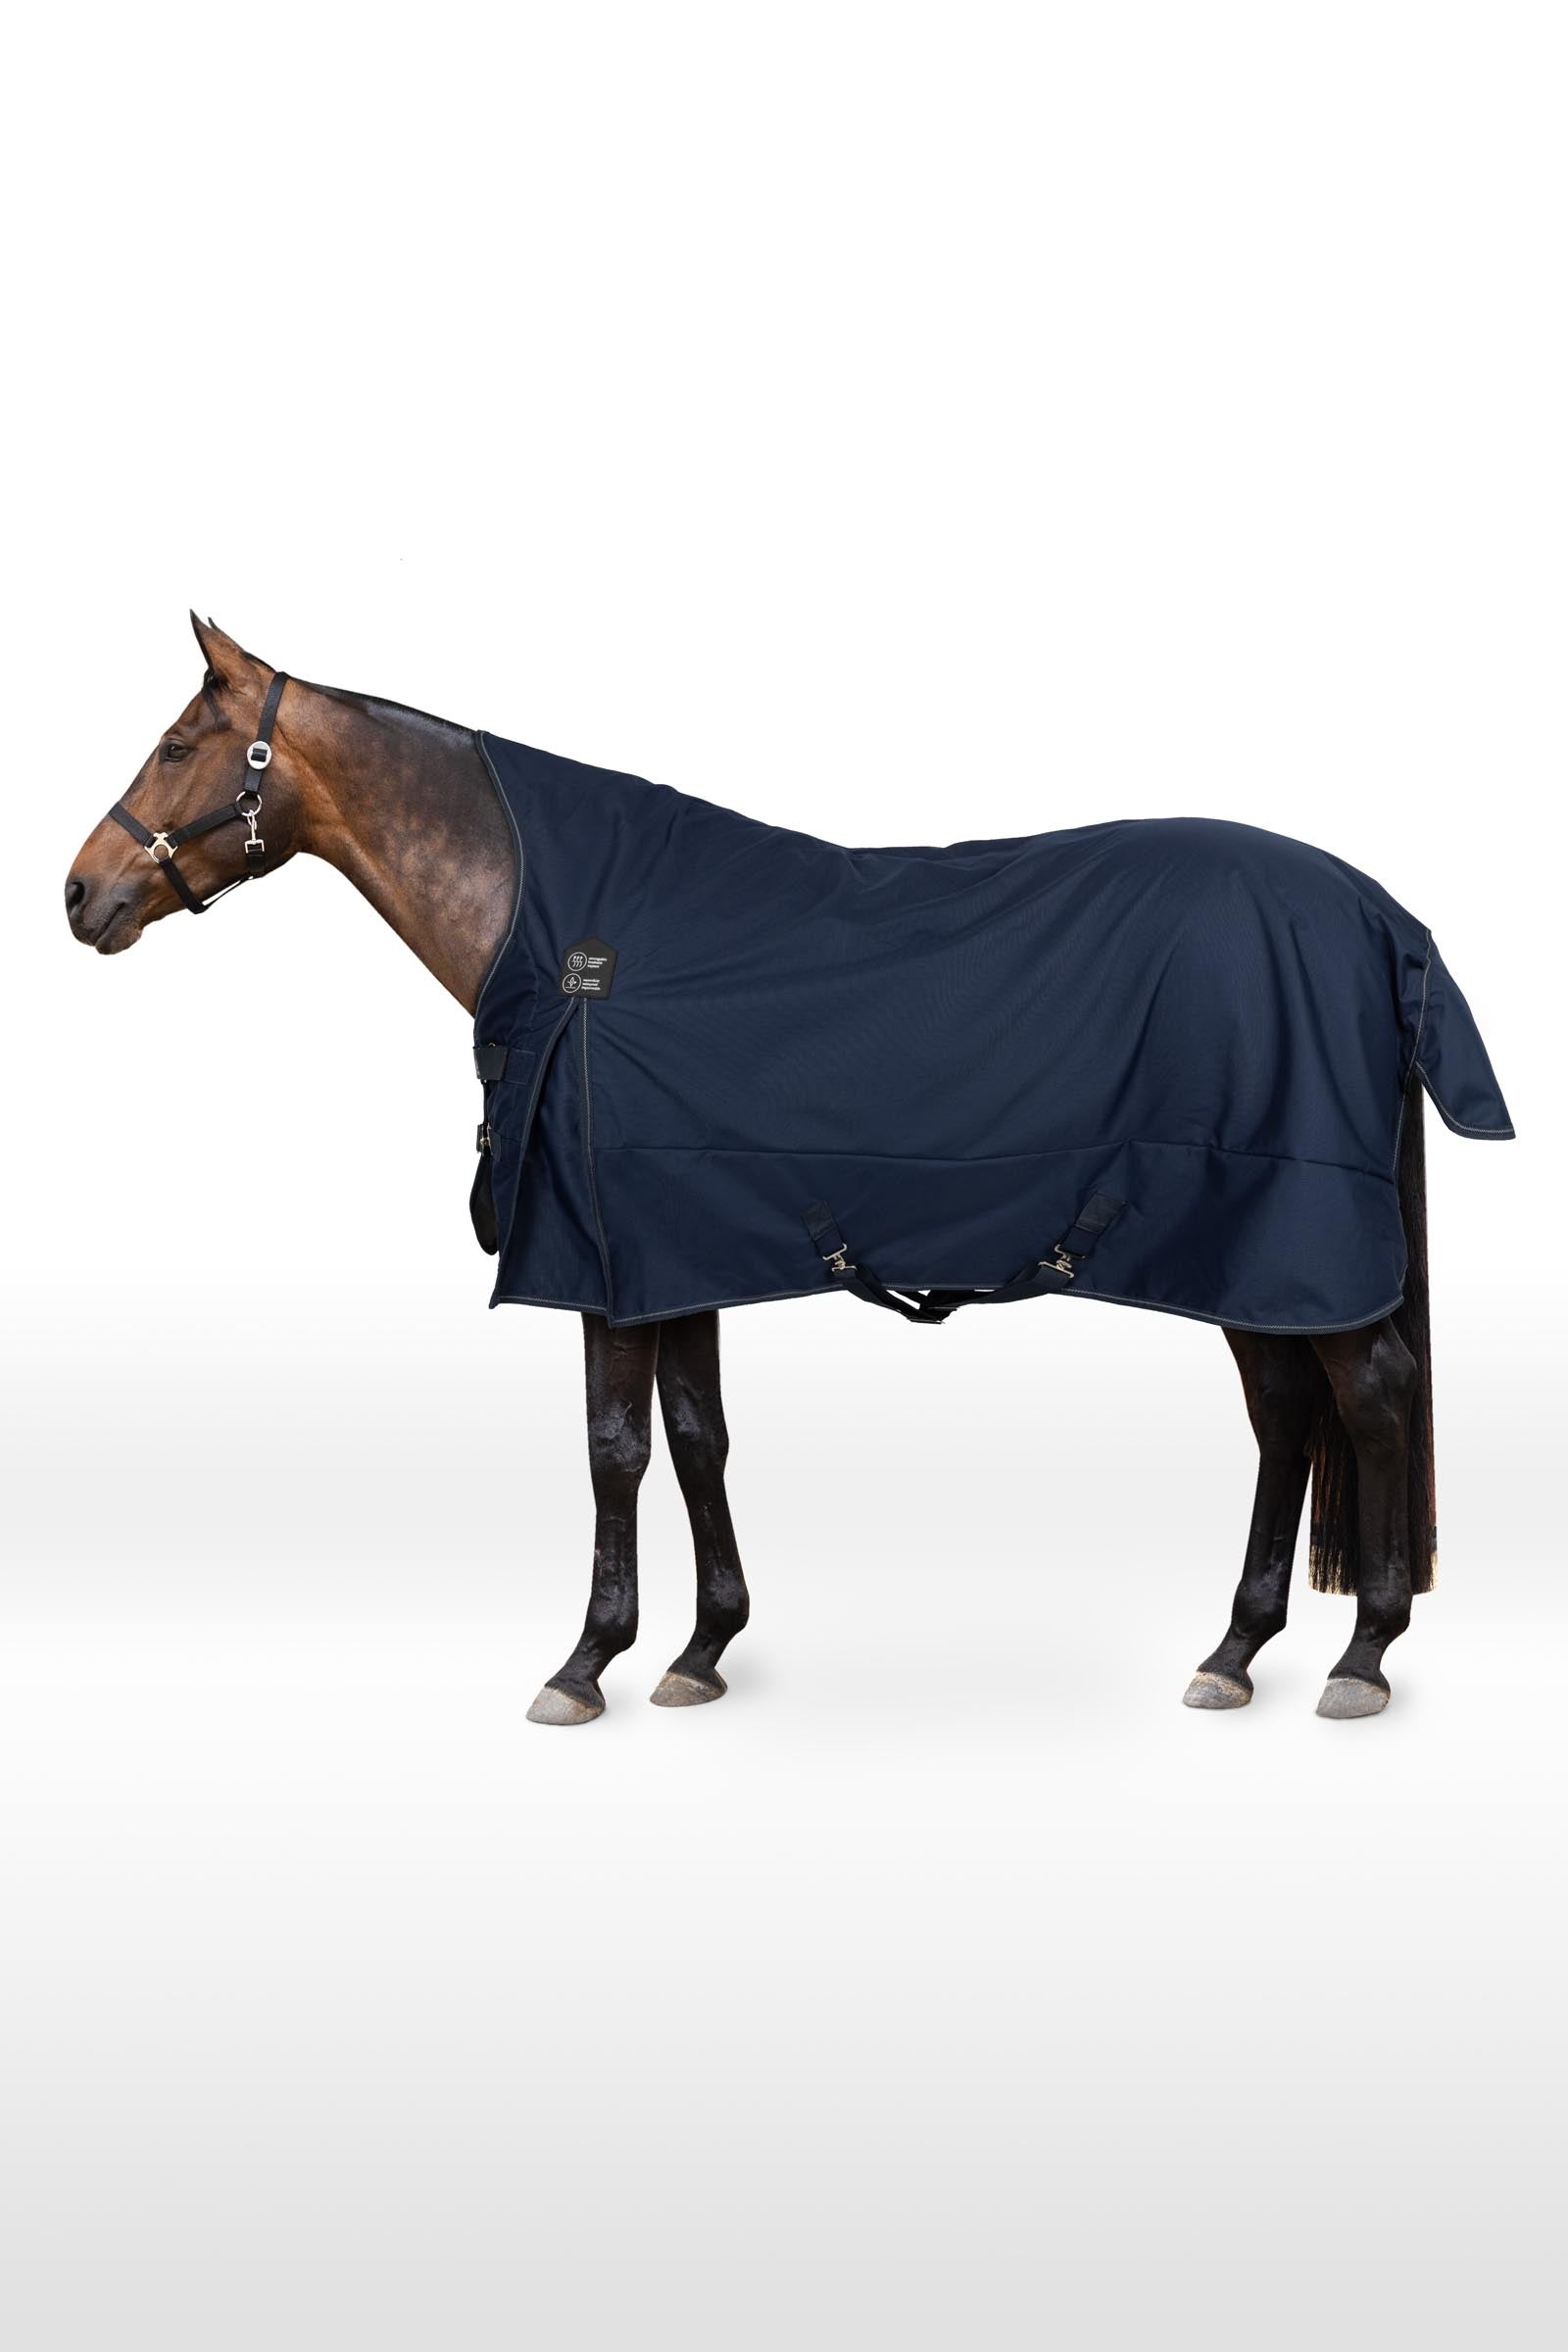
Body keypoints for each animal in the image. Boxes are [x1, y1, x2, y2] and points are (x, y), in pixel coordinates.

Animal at [64, 616, 1513, 1726]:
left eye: (180, 743)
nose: (79, 895)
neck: (572, 942)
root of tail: (1380, 919)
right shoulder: (672, 1254)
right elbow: (696, 1436)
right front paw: (703, 1650)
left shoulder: (600, 1263)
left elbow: (612, 1451)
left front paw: (584, 1664)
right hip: (1249, 1256)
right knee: (1287, 1416)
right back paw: (1236, 1651)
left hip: (1289, 1242)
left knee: (1370, 1397)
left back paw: (1362, 1655)